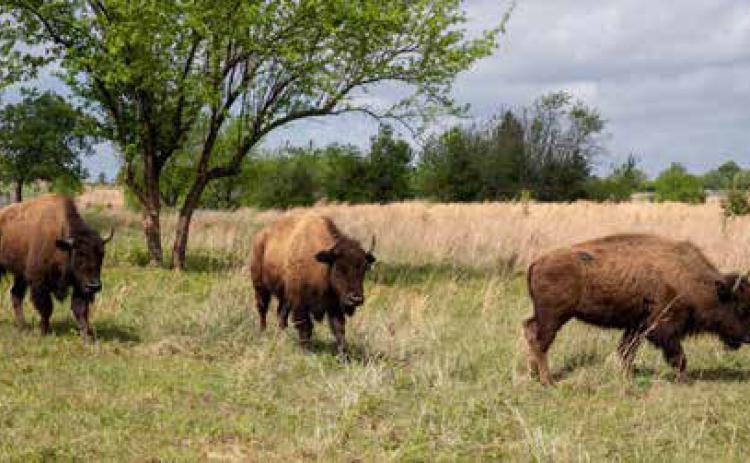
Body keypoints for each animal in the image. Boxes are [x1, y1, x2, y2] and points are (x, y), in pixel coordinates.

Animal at [0, 195, 113, 341]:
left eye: (102, 254)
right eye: (79, 254)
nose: (94, 286)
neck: (63, 246)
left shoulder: (79, 285)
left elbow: (80, 310)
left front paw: (87, 337)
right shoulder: (39, 282)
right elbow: (46, 308)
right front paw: (44, 331)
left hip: (20, 275)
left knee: (16, 295)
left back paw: (23, 327)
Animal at [250, 213, 375, 356]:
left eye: (364, 268)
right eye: (339, 268)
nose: (356, 298)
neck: (322, 264)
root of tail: (260, 236)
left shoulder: (334, 305)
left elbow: (339, 329)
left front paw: (343, 355)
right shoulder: (299, 302)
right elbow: (305, 326)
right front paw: (306, 351)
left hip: (284, 296)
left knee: (281, 316)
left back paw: (281, 337)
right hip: (260, 286)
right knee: (262, 309)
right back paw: (263, 333)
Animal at [524, 233, 750, 385]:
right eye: (740, 307)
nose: (748, 338)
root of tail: (537, 262)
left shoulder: (636, 327)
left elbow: (626, 351)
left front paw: (627, 377)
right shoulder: (662, 328)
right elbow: (678, 357)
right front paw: (684, 380)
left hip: (546, 316)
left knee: (529, 329)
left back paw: (534, 374)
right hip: (554, 317)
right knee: (541, 342)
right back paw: (547, 381)